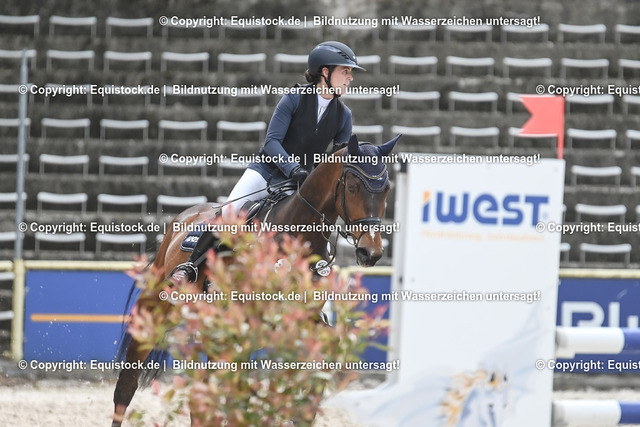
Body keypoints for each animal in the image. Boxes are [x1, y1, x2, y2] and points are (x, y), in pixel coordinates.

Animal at [111, 133, 400, 426]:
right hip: (157, 311)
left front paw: (307, 404)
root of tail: (184, 216)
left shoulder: (300, 320)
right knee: (127, 385)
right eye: (352, 187)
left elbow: (324, 349)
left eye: (386, 189)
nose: (370, 252)